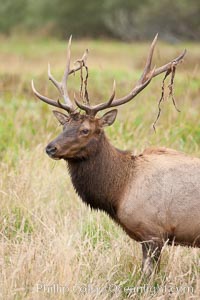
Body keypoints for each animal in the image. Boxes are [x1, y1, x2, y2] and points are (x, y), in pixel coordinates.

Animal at [31, 35, 200, 276]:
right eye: (64, 126)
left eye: (85, 130)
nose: (50, 148)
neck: (120, 191)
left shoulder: (153, 232)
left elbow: (148, 277)